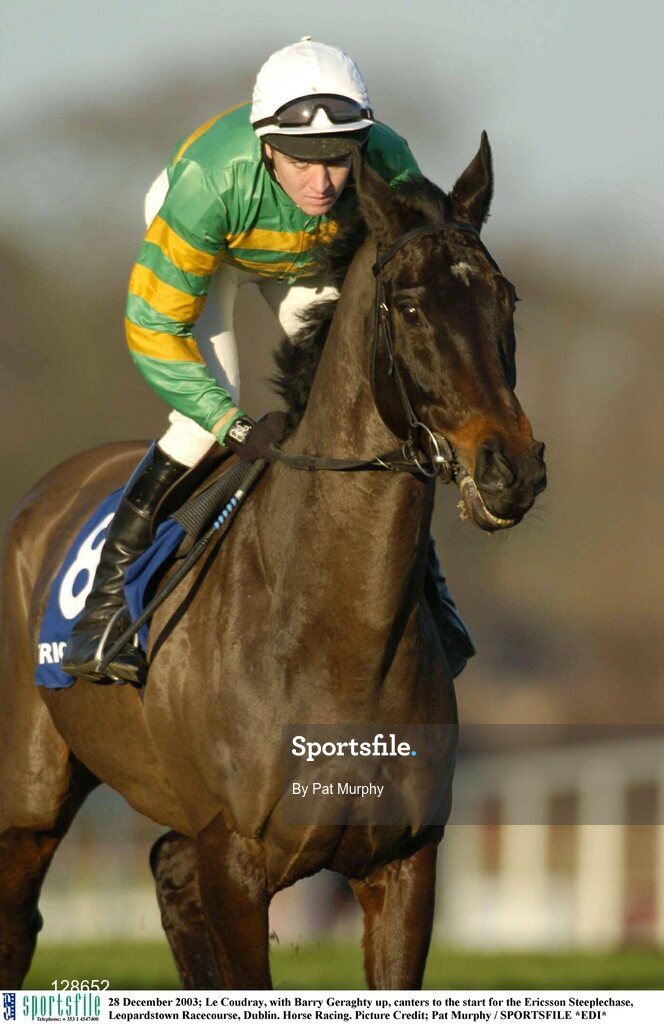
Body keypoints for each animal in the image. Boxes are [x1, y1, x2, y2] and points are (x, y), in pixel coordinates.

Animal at [0, 135, 546, 990]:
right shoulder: (234, 859)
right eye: (411, 308)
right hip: (28, 796)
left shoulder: (404, 863)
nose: (509, 469)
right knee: (17, 920)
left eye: (506, 300)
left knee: (166, 872)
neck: (336, 636)